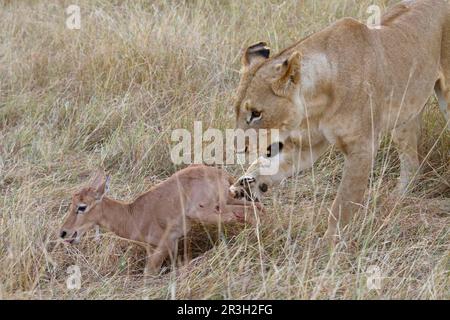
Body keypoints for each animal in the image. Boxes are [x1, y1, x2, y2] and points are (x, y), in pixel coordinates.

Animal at [60, 165, 264, 276]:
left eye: (82, 206)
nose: (64, 233)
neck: (132, 214)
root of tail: (221, 174)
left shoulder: (167, 243)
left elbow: (149, 272)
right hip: (230, 200)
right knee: (259, 207)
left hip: (208, 212)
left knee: (249, 213)